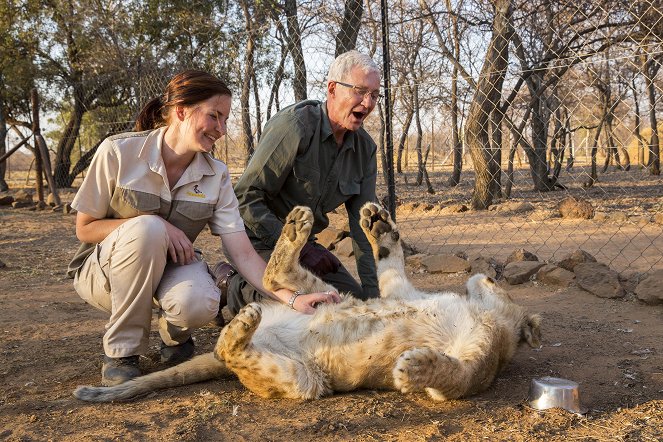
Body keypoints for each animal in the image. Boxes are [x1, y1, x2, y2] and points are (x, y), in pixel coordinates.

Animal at [74, 202, 540, 402]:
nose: (489, 275)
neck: (481, 308)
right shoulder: (398, 290)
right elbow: (390, 262)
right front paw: (378, 226)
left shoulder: (481, 365)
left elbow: (454, 376)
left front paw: (415, 367)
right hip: (327, 296)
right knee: (271, 276)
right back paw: (297, 226)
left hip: (302, 378)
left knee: (234, 346)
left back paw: (243, 322)